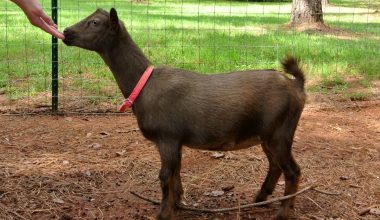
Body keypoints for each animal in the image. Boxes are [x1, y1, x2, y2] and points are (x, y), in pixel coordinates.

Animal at [62, 8, 306, 220]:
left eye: (94, 22)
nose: (66, 32)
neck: (144, 85)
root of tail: (297, 85)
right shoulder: (175, 141)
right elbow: (176, 173)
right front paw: (178, 203)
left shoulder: (167, 137)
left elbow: (164, 176)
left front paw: (163, 213)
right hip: (268, 136)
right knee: (275, 166)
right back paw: (260, 198)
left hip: (279, 133)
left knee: (292, 171)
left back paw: (283, 212)